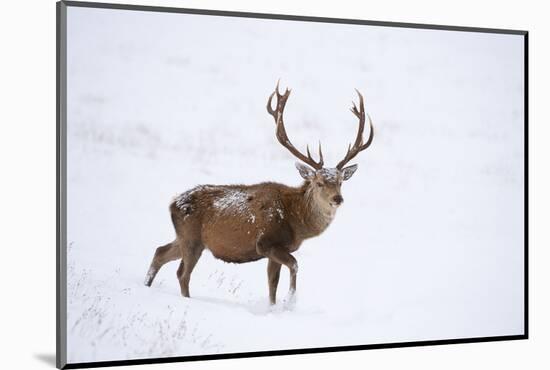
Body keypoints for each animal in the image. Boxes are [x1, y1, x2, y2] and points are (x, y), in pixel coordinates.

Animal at [144, 82, 376, 304]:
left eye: (340, 182)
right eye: (319, 182)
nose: (338, 198)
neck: (296, 222)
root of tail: (172, 204)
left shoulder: (277, 250)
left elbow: (272, 284)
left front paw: (274, 306)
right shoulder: (265, 243)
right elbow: (294, 265)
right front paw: (290, 301)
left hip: (185, 237)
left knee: (160, 251)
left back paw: (146, 285)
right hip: (192, 238)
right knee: (182, 273)